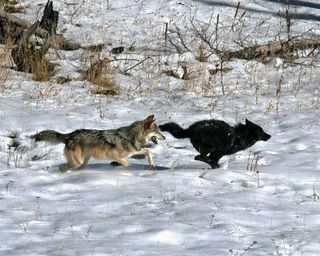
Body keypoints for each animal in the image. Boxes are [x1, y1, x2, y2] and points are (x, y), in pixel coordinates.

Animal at [31, 115, 165, 171]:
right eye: (157, 131)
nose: (164, 137)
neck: (131, 137)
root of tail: (70, 135)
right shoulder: (115, 155)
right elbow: (126, 163)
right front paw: (118, 166)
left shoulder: (133, 152)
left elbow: (148, 150)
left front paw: (152, 163)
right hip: (77, 162)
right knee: (62, 167)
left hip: (83, 161)